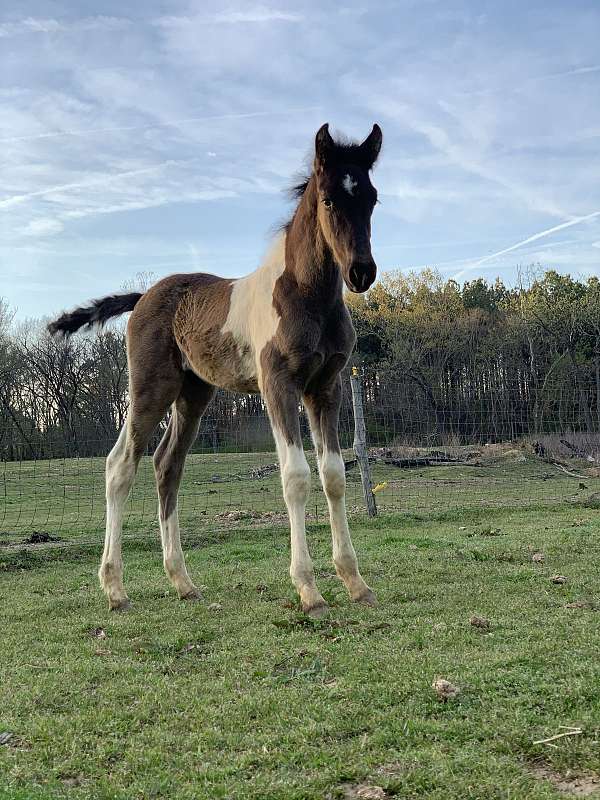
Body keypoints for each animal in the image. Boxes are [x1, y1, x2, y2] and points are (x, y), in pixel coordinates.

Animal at [49, 122, 382, 616]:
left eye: (372, 198)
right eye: (327, 200)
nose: (361, 272)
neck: (305, 296)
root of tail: (143, 296)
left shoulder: (326, 387)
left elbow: (334, 476)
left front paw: (355, 583)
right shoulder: (278, 386)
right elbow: (296, 477)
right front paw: (309, 590)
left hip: (194, 393)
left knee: (167, 465)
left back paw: (183, 582)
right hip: (150, 387)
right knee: (120, 464)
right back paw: (115, 589)